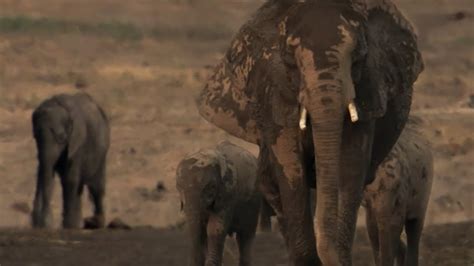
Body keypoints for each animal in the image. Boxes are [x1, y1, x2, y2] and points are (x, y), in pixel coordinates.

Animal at [31, 93, 110, 229]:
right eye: (35, 136)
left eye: (61, 137)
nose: (44, 223)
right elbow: (45, 174)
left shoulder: (78, 143)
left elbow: (70, 179)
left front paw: (68, 226)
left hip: (102, 151)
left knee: (96, 187)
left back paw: (94, 223)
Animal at [195, 1, 422, 264]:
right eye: (291, 63)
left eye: (358, 59)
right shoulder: (275, 93)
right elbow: (292, 170)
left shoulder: (368, 89)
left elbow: (350, 166)